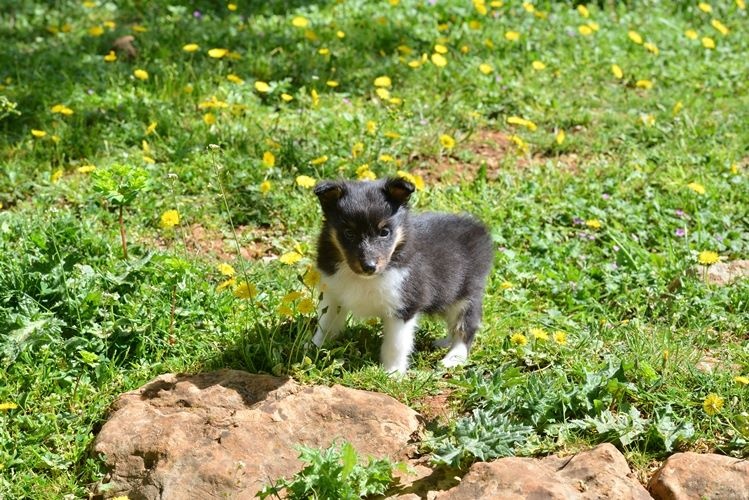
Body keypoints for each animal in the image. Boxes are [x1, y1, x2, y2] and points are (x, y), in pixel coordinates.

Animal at [310, 178, 490, 374]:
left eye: (384, 232)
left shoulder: (404, 305)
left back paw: (453, 358)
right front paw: (313, 348)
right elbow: (326, 324)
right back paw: (444, 343)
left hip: (467, 295)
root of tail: (478, 228)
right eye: (348, 233)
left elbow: (395, 344)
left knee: (466, 325)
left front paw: (392, 373)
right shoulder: (333, 294)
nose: (369, 267)